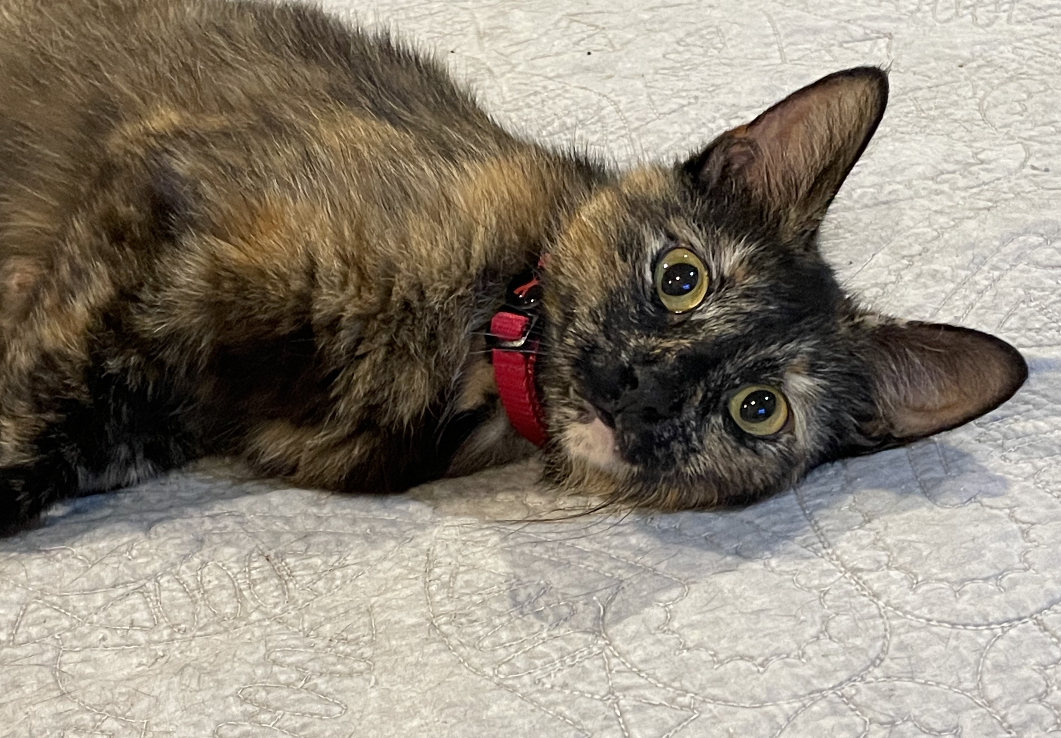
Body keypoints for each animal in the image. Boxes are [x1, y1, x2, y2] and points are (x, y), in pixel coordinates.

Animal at [0, 0, 1027, 532]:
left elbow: (70, 440)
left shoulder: (168, 396)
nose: (641, 387)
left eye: (757, 408)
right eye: (681, 278)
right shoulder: (159, 191)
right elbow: (37, 405)